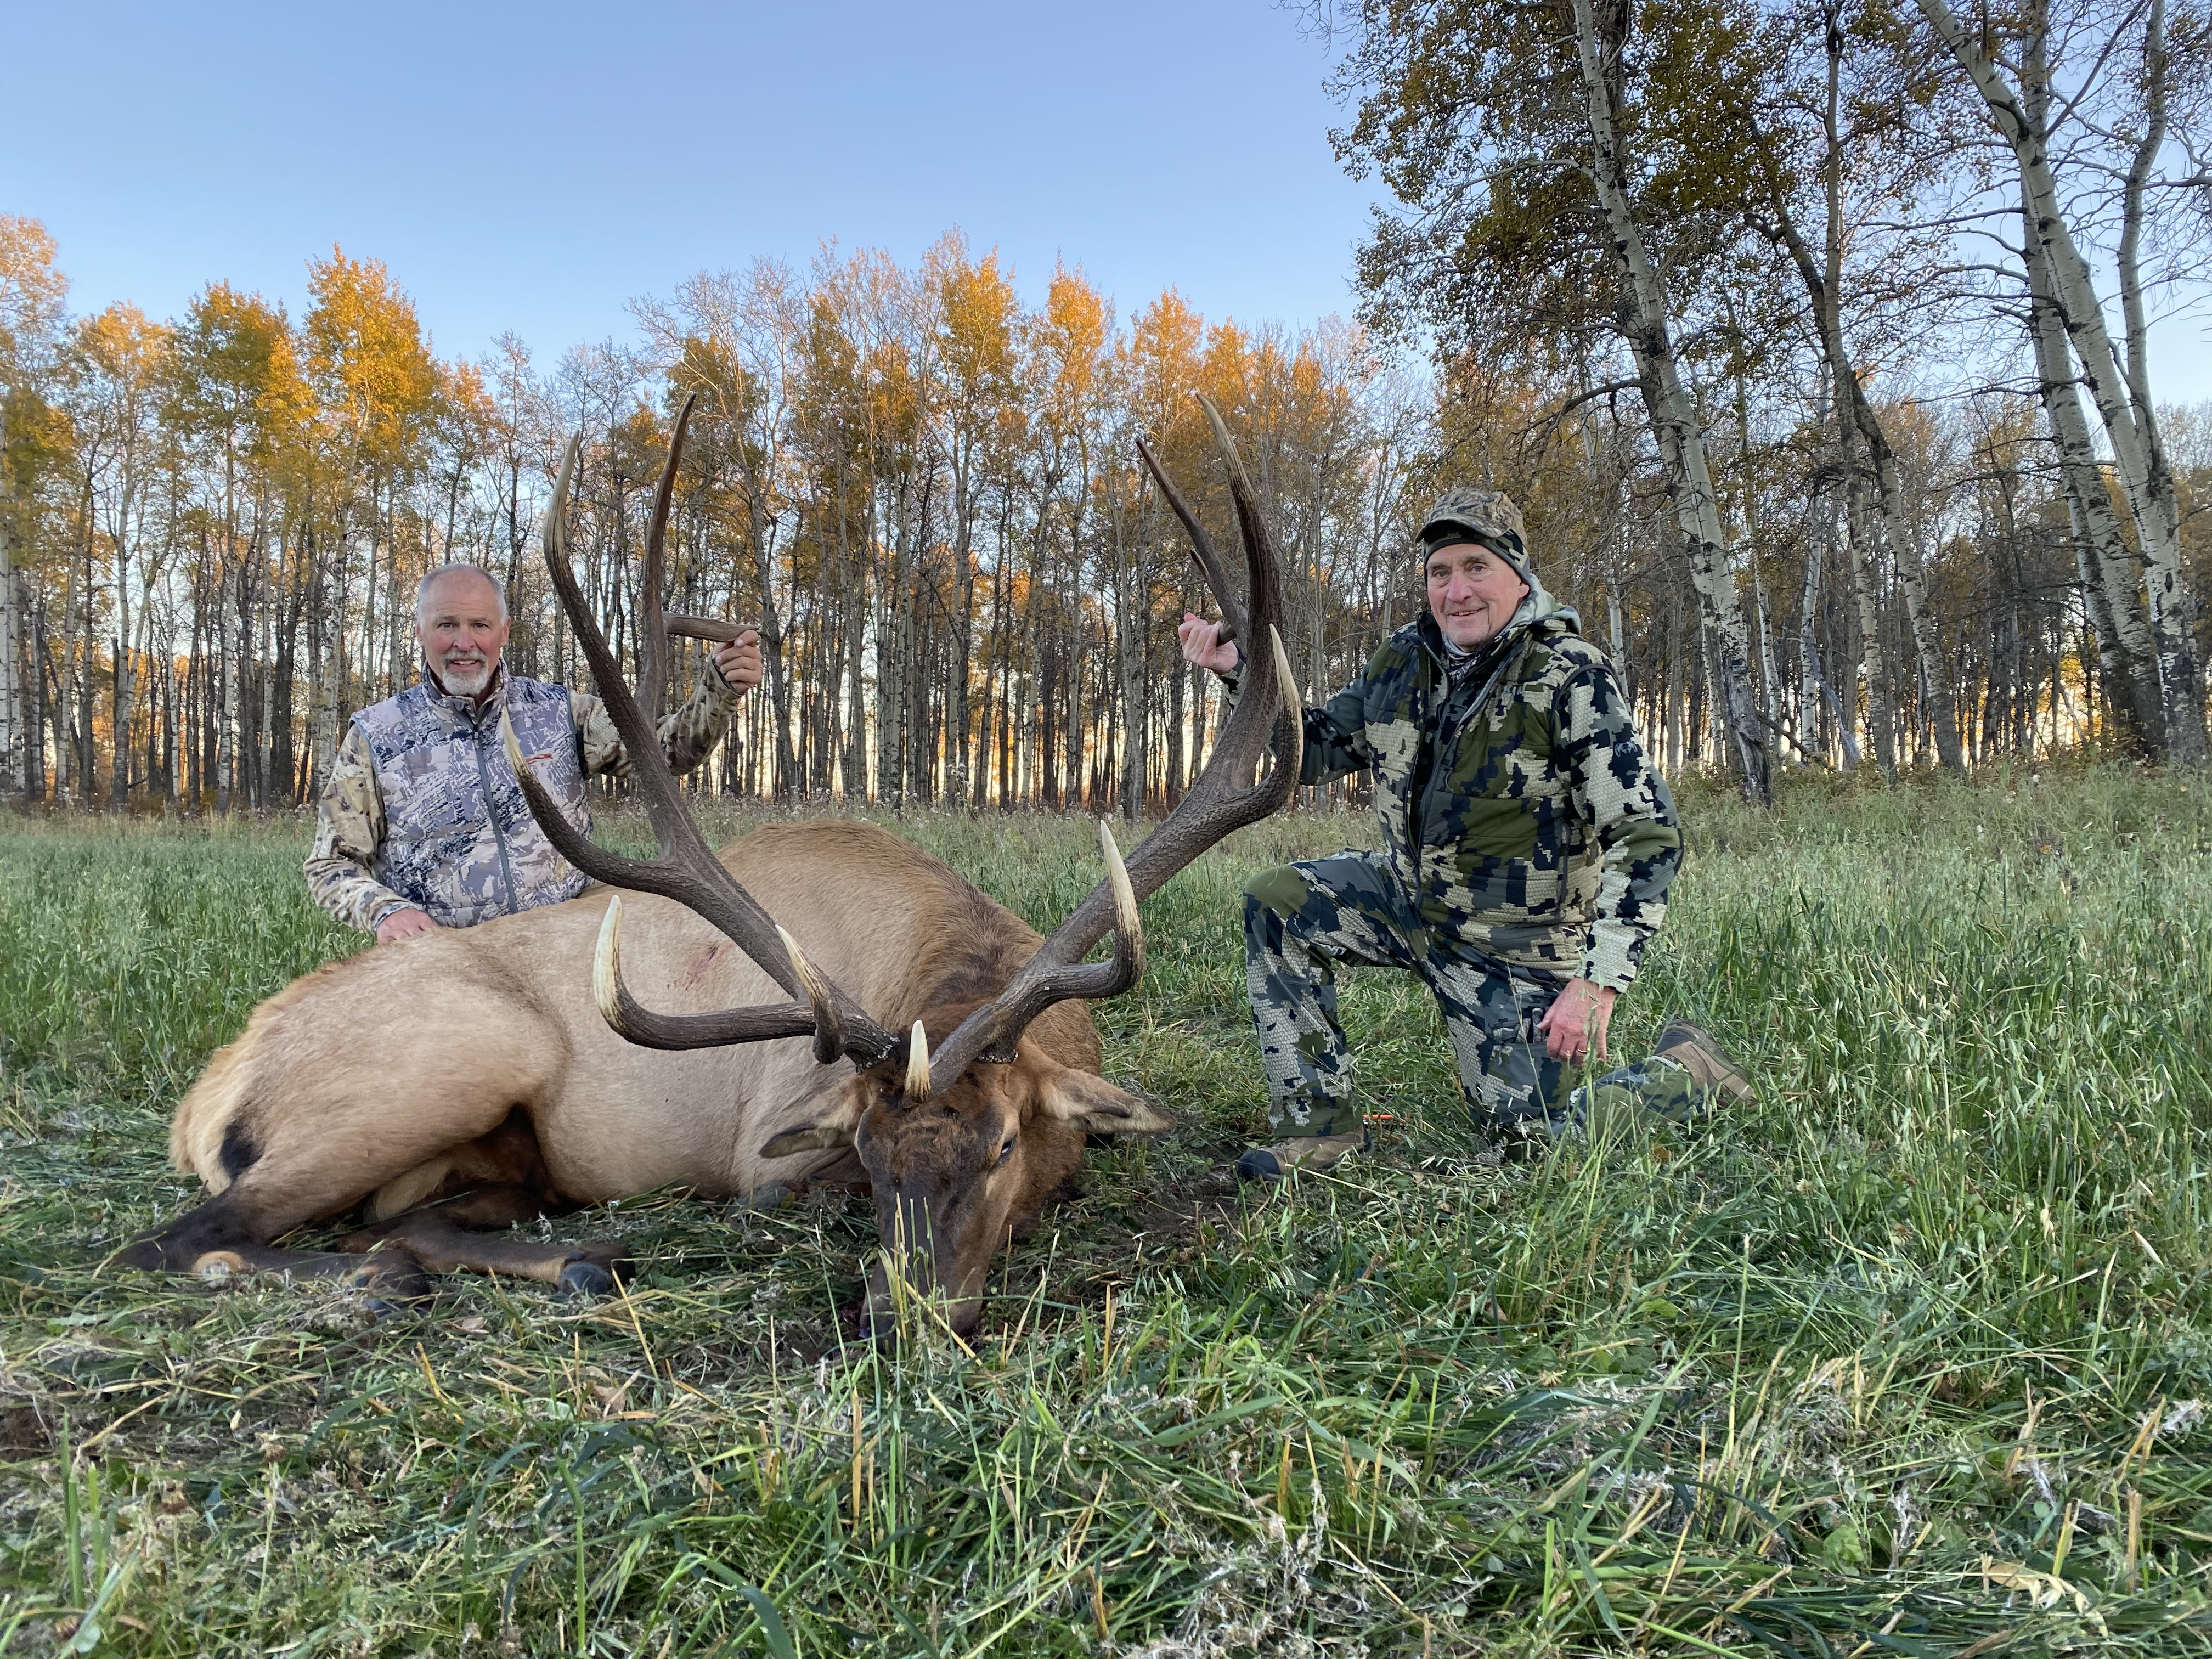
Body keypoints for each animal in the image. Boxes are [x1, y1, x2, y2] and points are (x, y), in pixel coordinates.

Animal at [116, 395, 1302, 1341]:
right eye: (869, 1153)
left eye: (1005, 1142)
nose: (900, 1317)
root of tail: (208, 1094)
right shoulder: (767, 1158)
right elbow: (778, 1195)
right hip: (453, 1060)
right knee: (178, 1239)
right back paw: (383, 1282)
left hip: (493, 1153)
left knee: (401, 1221)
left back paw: (573, 1258)